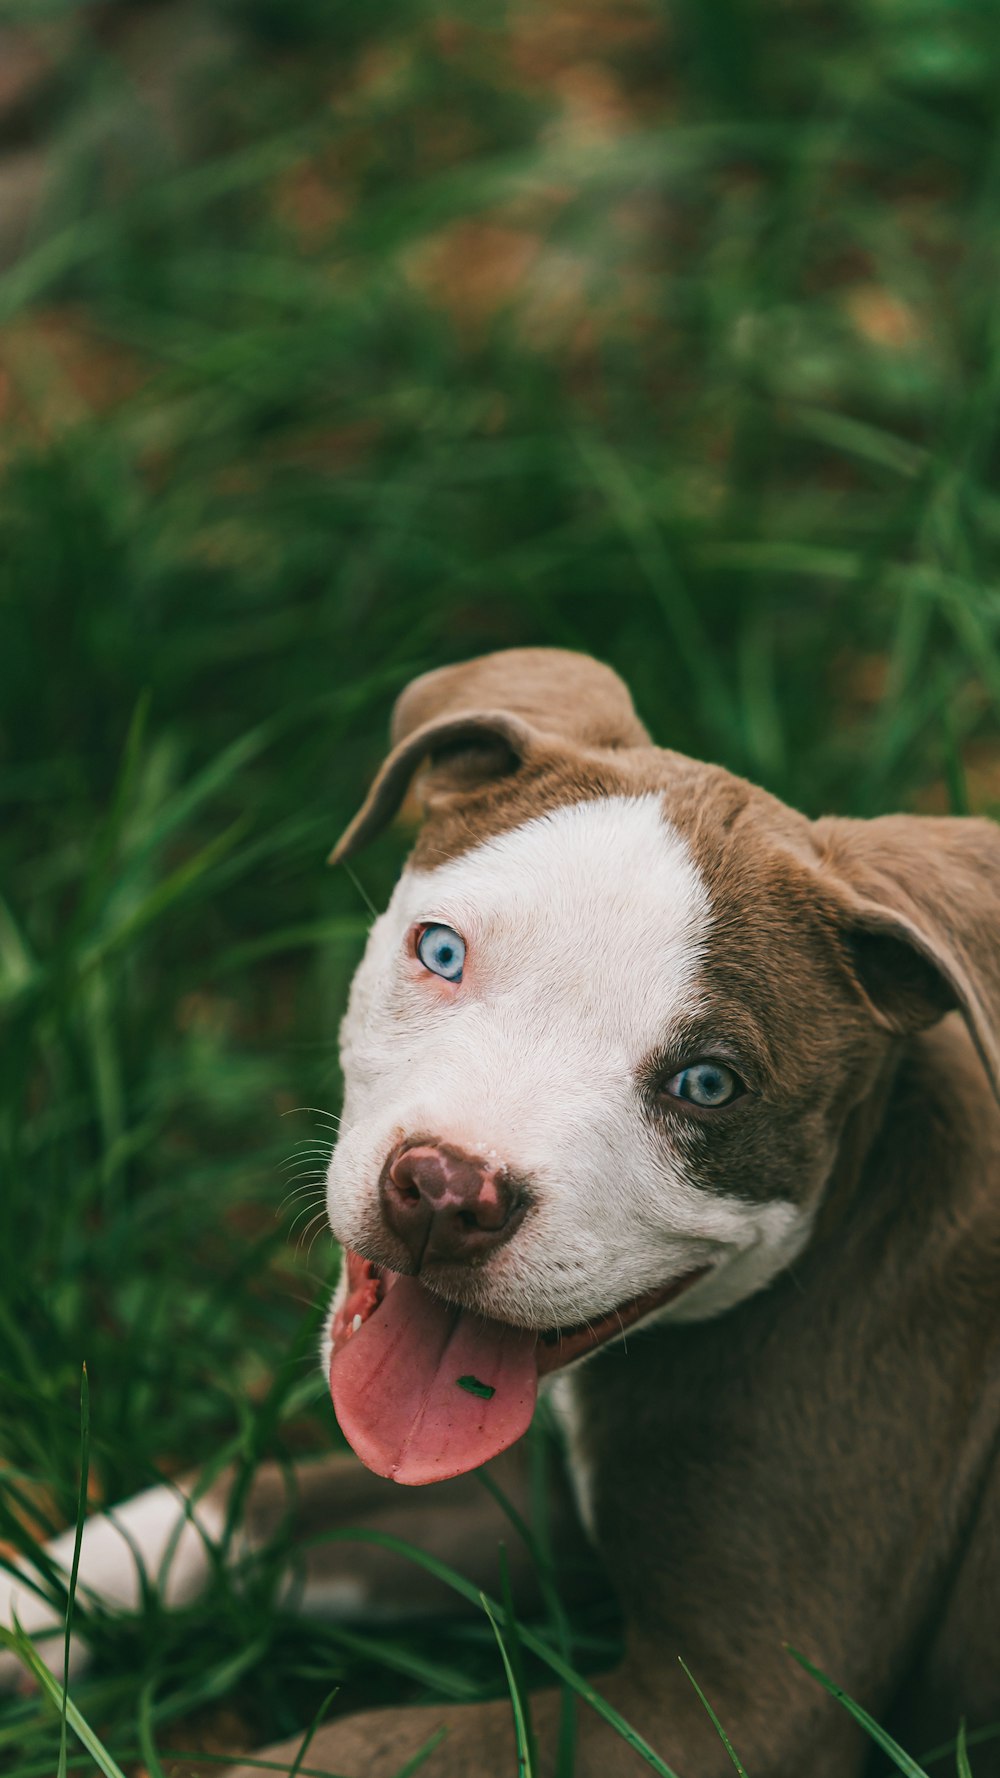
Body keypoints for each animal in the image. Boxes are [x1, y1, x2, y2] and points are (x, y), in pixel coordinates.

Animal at [1, 654, 996, 1778]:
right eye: (440, 951)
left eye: (707, 1084)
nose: (445, 1191)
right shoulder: (513, 1490)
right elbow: (237, 1507)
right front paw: (24, 1611)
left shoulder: (737, 1709)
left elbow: (368, 1748)